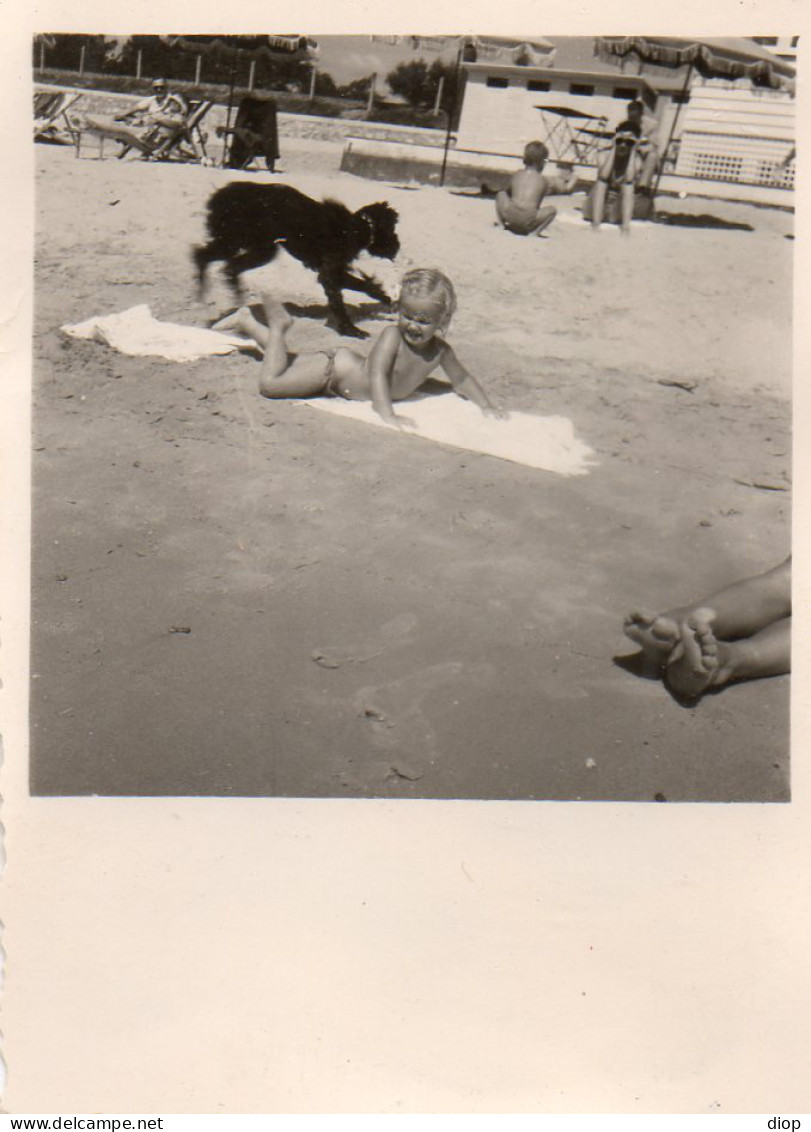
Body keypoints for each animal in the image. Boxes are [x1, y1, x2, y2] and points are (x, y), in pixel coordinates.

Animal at [193, 182, 403, 335]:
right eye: (391, 231)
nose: (397, 246)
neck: (355, 227)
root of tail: (220, 197)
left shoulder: (333, 269)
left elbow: (364, 285)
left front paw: (383, 296)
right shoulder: (330, 271)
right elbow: (339, 297)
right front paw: (349, 328)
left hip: (238, 241)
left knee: (204, 256)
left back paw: (209, 292)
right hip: (253, 244)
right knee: (225, 265)